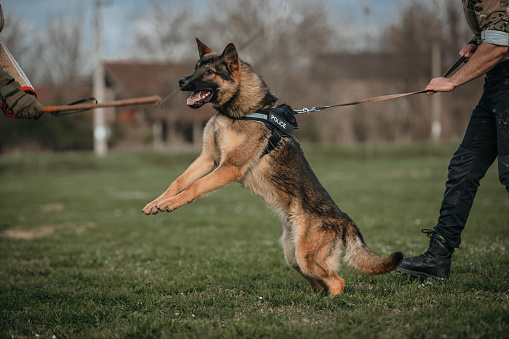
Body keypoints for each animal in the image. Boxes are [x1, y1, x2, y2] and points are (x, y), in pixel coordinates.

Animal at [142, 38, 400, 296]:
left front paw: (169, 204)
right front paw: (156, 203)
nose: (181, 81)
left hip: (306, 256)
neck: (242, 111)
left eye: (209, 72)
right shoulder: (208, 158)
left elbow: (194, 187)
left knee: (338, 281)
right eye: (196, 67)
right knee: (320, 281)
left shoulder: (228, 167)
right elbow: (178, 181)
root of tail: (343, 218)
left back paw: (333, 301)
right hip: (293, 256)